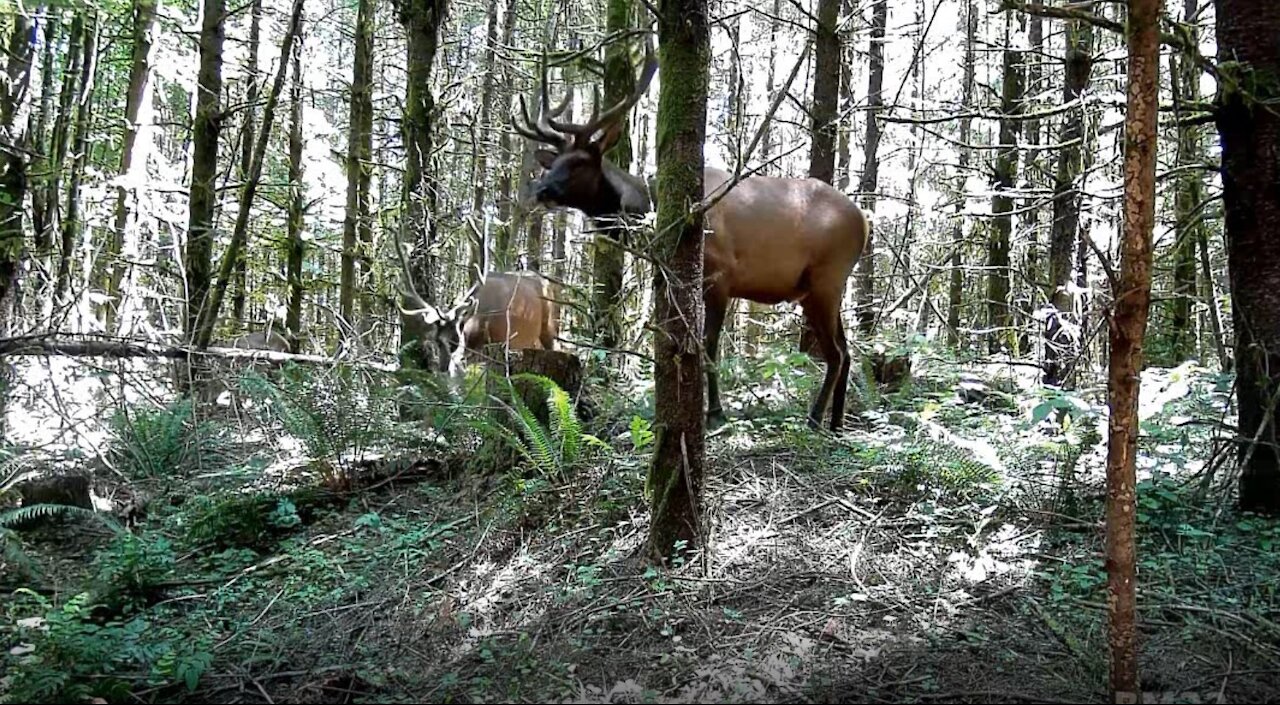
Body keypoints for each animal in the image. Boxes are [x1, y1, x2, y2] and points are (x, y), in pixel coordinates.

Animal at [509, 44, 870, 432]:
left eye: (578, 163)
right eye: (553, 162)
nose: (540, 190)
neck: (652, 209)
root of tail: (865, 221)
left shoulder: (720, 274)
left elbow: (708, 343)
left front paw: (715, 412)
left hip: (826, 279)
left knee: (836, 352)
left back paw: (816, 419)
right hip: (822, 288)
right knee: (847, 350)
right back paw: (836, 422)